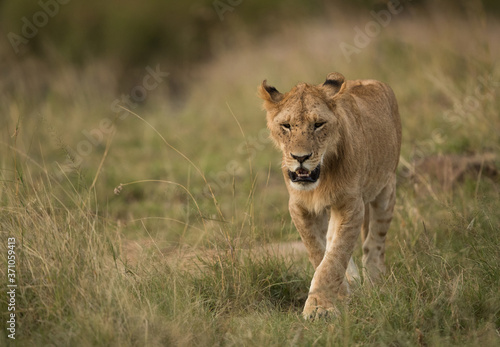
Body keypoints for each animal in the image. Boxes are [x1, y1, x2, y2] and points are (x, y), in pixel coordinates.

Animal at [258, 72, 402, 320]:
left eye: (318, 125)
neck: (321, 179)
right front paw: (340, 294)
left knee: (374, 242)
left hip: (386, 188)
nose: (300, 157)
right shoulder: (299, 207)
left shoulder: (351, 205)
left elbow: (335, 255)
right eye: (286, 126)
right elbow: (319, 252)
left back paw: (374, 281)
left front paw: (320, 307)